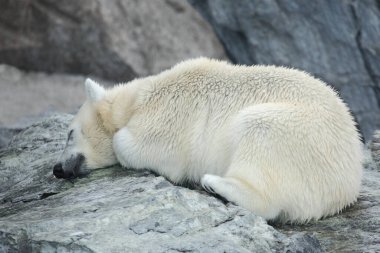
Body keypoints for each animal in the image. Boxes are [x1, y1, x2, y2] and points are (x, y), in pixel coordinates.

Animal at [52, 57, 362, 221]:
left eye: (69, 133)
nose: (57, 169)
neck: (137, 101)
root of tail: (347, 185)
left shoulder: (168, 116)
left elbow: (134, 144)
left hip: (297, 136)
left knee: (259, 132)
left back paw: (215, 184)